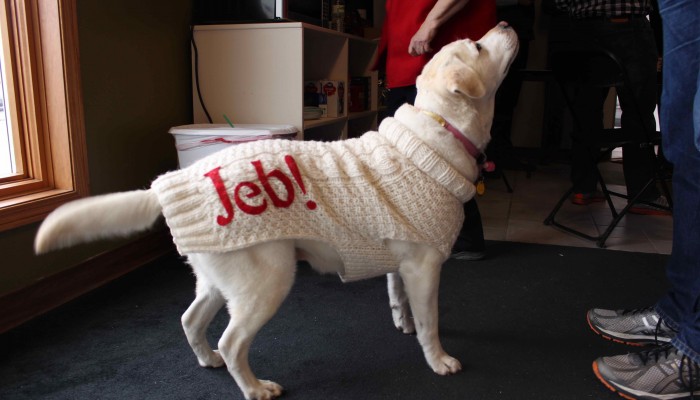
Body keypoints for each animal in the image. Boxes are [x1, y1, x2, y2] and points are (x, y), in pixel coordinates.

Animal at [35, 22, 516, 400]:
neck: (438, 130)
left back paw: (208, 360)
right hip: (268, 278)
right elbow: (432, 320)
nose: (508, 22)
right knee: (233, 342)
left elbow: (399, 299)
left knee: (191, 320)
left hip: (220, 277)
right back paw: (254, 387)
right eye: (477, 46)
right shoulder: (424, 266)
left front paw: (405, 325)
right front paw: (439, 360)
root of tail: (180, 182)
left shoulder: (402, 258)